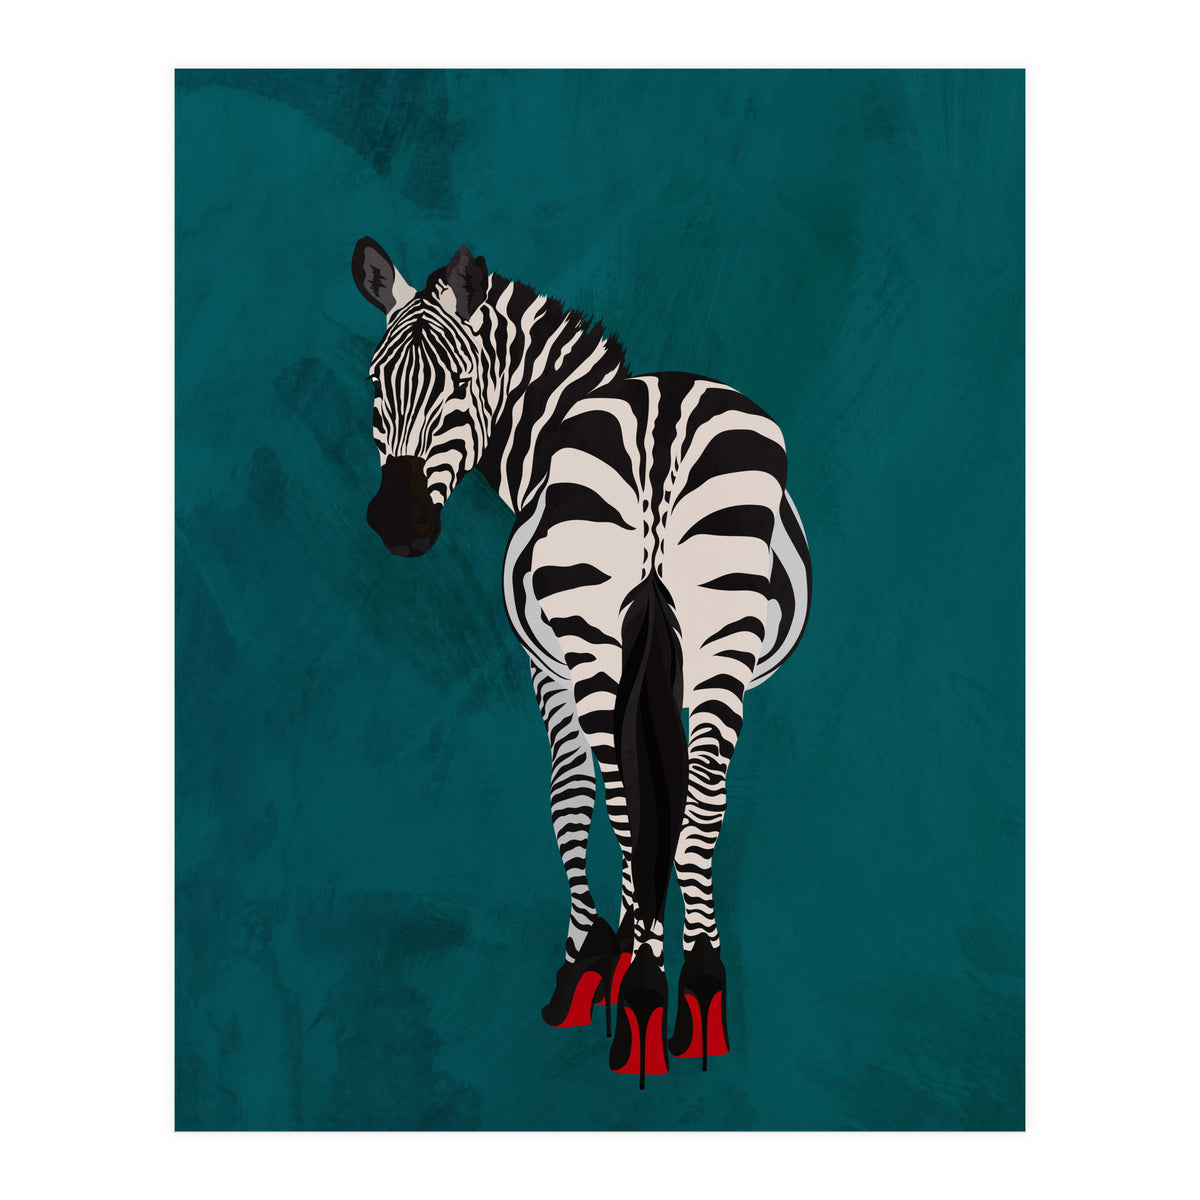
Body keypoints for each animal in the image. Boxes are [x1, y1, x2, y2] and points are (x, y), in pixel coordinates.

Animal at [351, 239, 811, 1084]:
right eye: (375, 384)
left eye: (459, 384)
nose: (398, 522)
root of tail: (663, 418)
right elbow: (658, 797)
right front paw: (629, 951)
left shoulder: (551, 667)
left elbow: (572, 796)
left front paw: (592, 960)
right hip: (719, 633)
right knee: (698, 800)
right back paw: (694, 992)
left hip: (598, 636)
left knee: (631, 800)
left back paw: (642, 998)